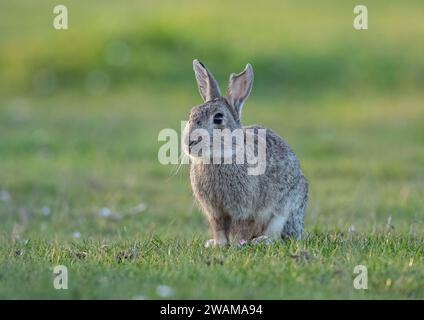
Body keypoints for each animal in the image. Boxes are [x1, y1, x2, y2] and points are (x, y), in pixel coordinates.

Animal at [182, 58, 308, 246]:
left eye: (218, 118)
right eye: (191, 114)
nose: (189, 142)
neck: (220, 158)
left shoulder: (246, 210)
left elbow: (243, 228)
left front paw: (237, 245)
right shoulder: (215, 212)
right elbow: (219, 228)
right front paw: (218, 245)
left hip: (285, 211)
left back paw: (261, 241)